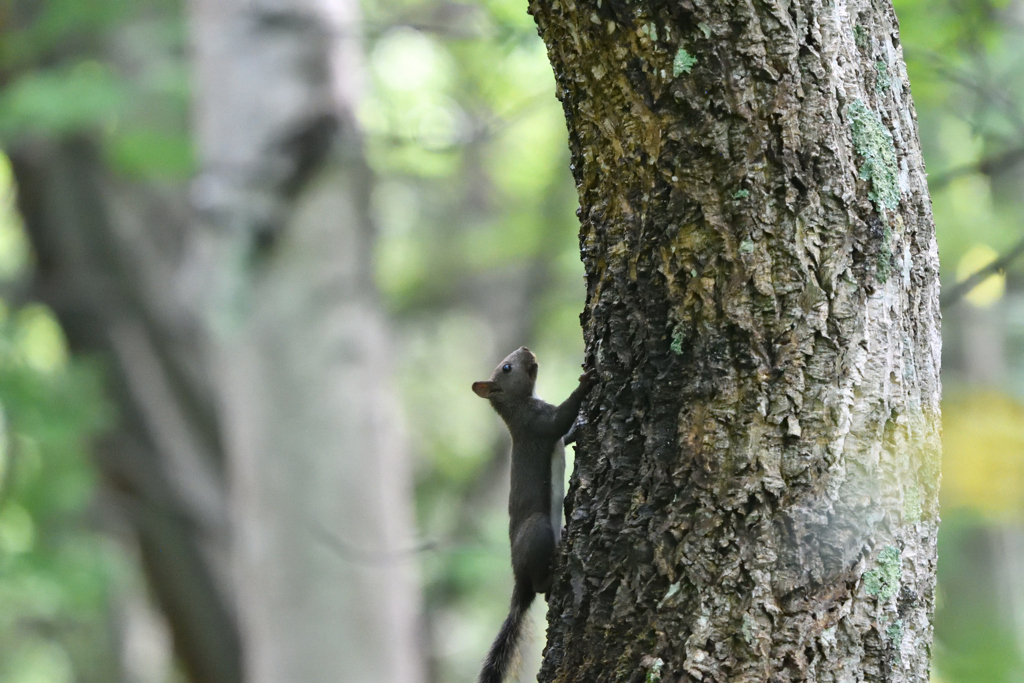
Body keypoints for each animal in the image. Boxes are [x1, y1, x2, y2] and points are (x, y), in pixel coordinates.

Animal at [468, 348, 593, 683]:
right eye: (506, 368)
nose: (526, 350)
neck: (518, 405)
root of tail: (519, 580)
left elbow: (565, 434)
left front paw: (579, 428)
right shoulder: (537, 423)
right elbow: (560, 419)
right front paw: (585, 384)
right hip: (537, 530)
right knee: (539, 586)